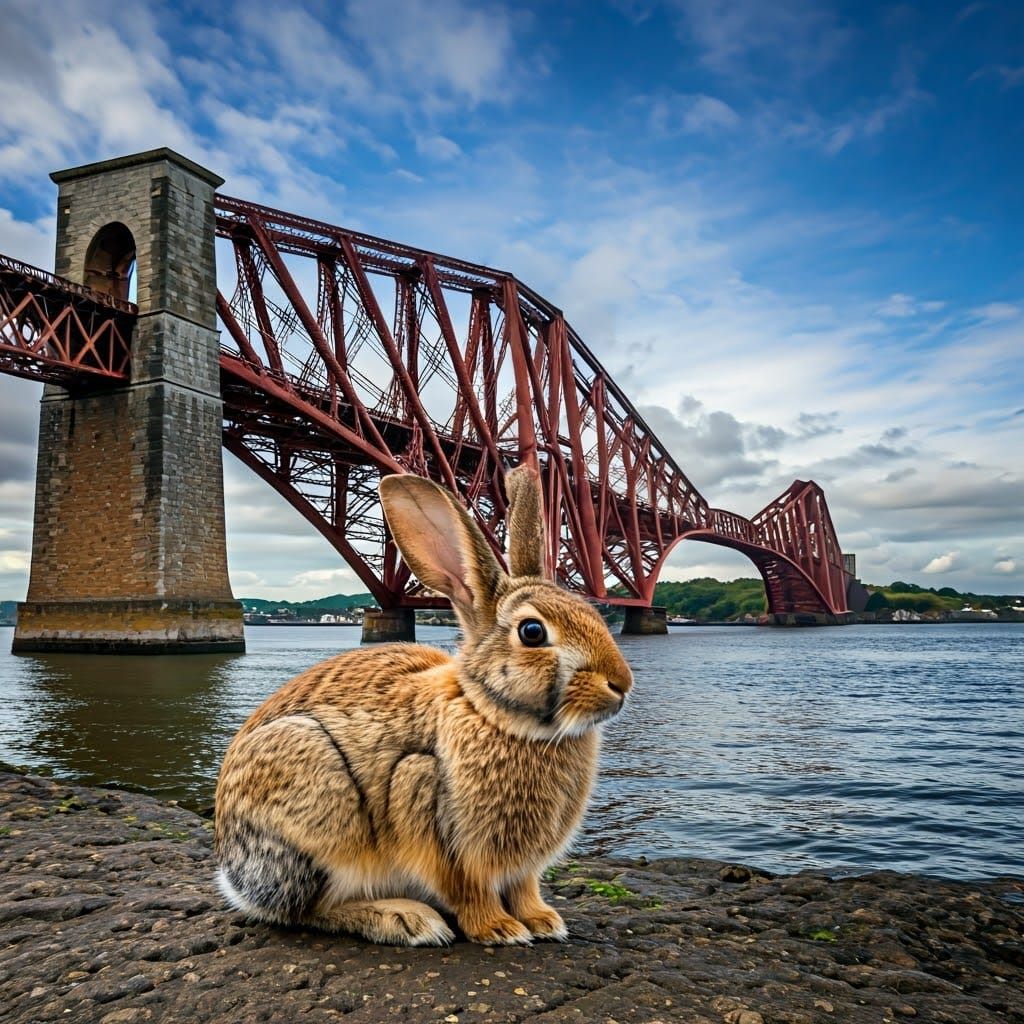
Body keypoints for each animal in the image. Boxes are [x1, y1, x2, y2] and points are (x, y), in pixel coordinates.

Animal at [213, 464, 633, 946]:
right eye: (532, 632)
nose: (621, 684)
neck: (499, 716)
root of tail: (233, 874)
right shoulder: (429, 807)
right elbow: (468, 890)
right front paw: (499, 929)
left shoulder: (522, 867)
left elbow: (525, 888)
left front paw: (544, 921)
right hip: (318, 810)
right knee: (303, 910)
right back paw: (406, 919)